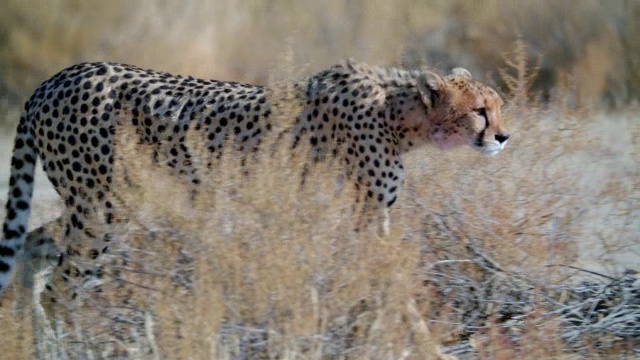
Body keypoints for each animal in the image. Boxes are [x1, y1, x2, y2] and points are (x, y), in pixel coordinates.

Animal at [0, 59, 510, 298]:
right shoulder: (366, 217)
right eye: (479, 111)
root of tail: (55, 78)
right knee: (59, 290)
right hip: (103, 210)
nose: (504, 137)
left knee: (32, 246)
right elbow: (391, 286)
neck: (398, 115)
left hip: (100, 206)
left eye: (499, 105)